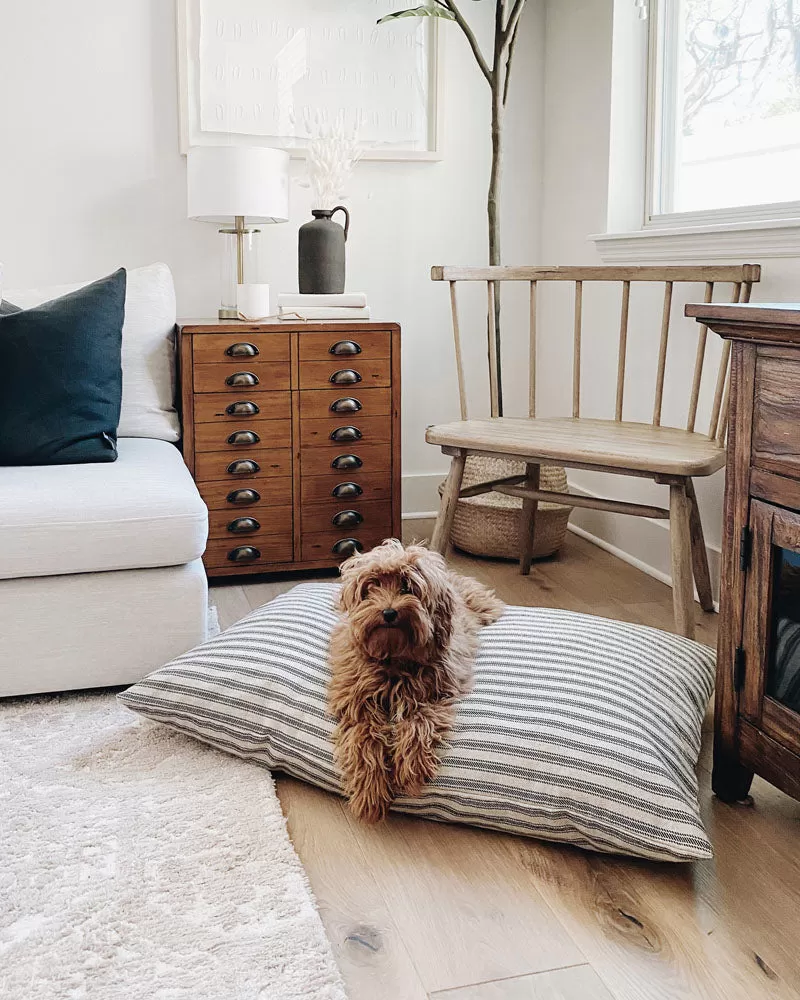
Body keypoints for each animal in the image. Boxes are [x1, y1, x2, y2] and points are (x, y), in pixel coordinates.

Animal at [326, 544, 504, 824]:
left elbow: (420, 721)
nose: (389, 612)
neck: (395, 658)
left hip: (481, 605)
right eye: (372, 586)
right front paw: (370, 791)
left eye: (407, 586)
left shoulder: (436, 694)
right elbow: (365, 738)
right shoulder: (357, 700)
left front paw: (410, 767)